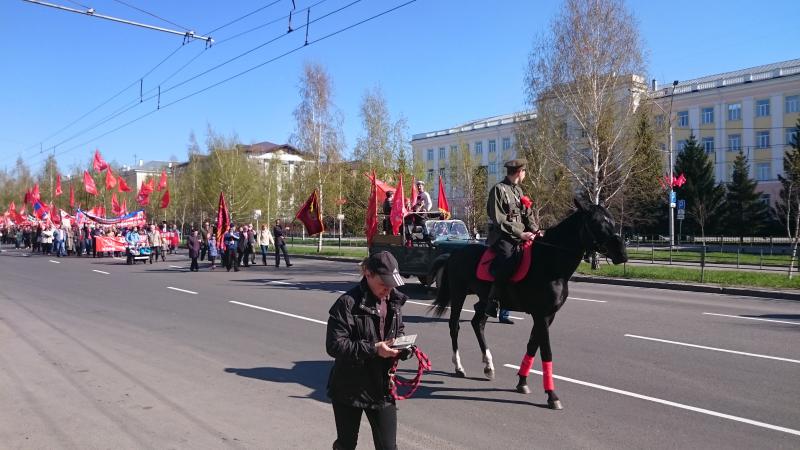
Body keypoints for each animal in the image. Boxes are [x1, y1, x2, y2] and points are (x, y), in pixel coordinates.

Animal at [434, 199, 628, 410]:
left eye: (612, 220)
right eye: (595, 222)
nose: (622, 253)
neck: (549, 262)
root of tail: (455, 253)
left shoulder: (548, 316)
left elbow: (532, 346)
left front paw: (522, 381)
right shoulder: (541, 315)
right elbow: (546, 351)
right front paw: (552, 395)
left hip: (485, 300)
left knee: (478, 323)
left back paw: (488, 365)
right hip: (458, 295)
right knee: (454, 326)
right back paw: (459, 366)